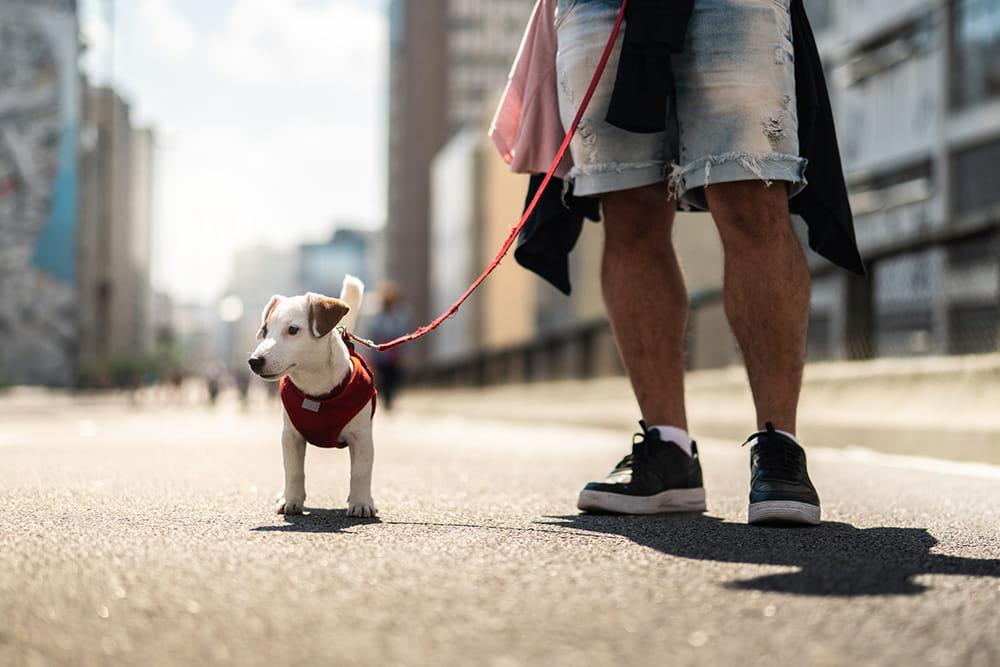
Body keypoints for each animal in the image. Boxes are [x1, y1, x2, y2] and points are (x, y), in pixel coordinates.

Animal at [248, 276, 376, 516]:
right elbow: (293, 471)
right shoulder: (291, 437)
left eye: (292, 329)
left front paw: (361, 503)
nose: (254, 361)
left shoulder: (362, 438)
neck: (316, 390)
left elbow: (361, 472)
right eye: (266, 330)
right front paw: (291, 500)